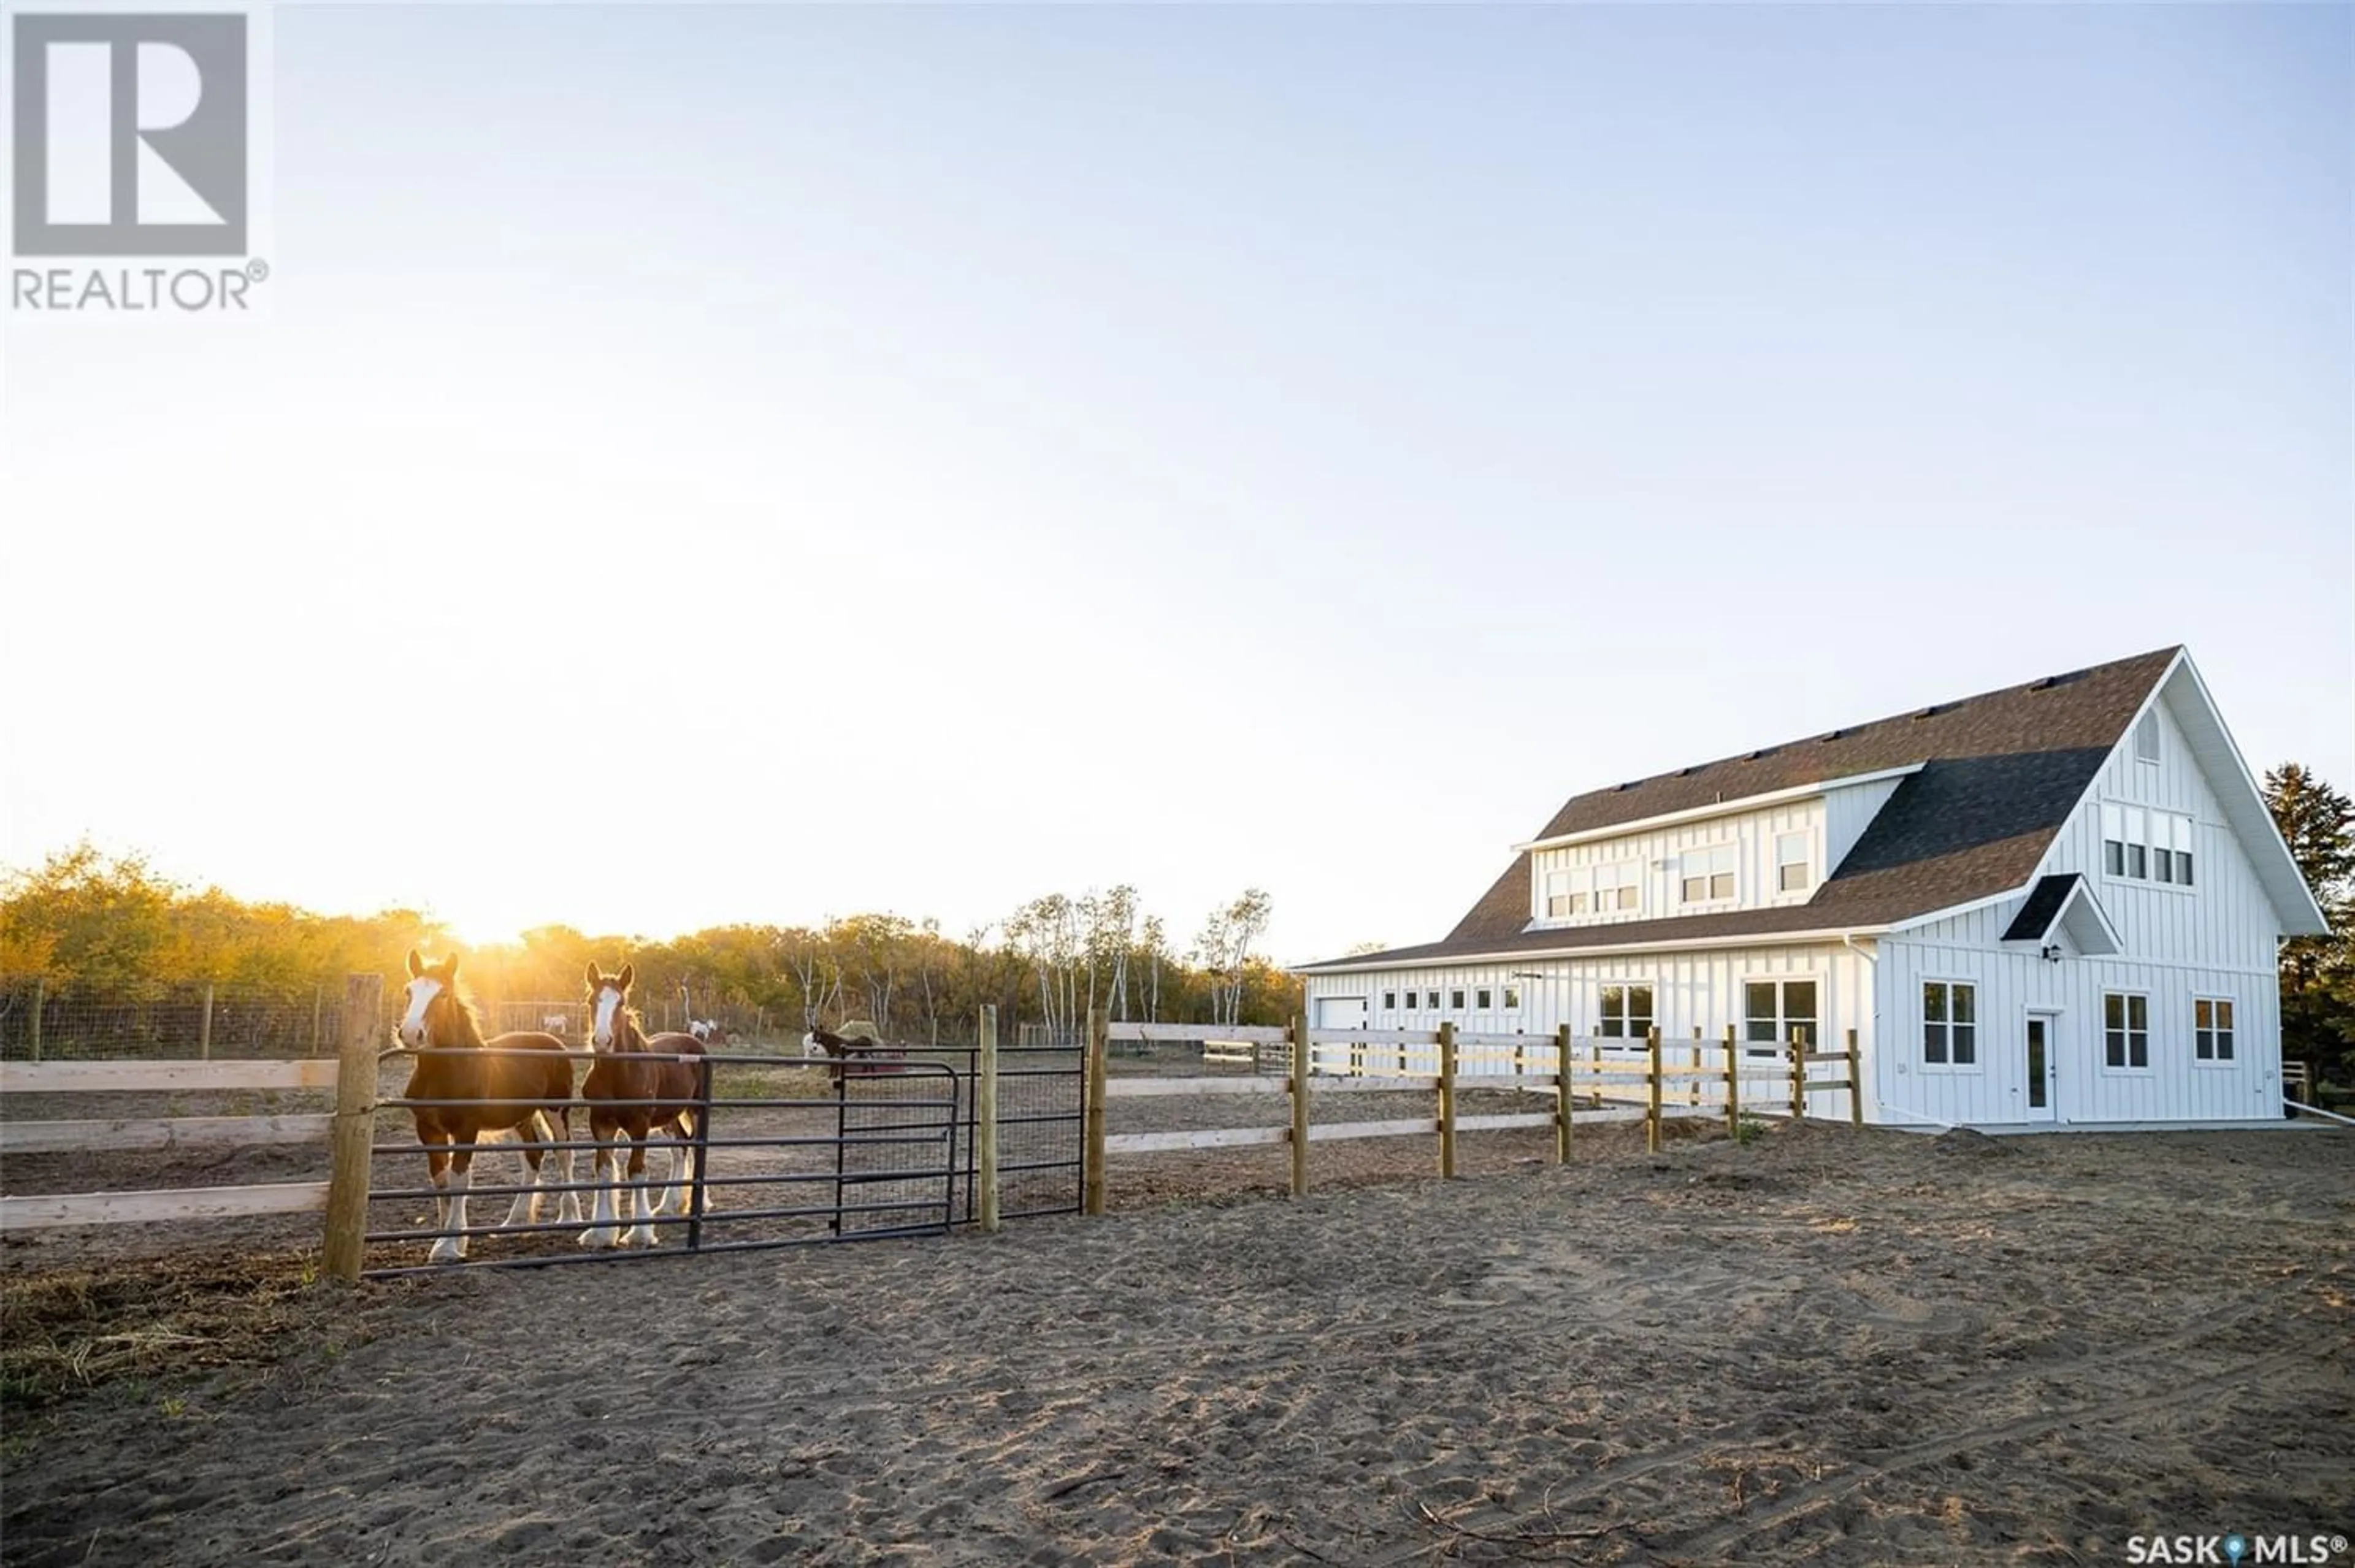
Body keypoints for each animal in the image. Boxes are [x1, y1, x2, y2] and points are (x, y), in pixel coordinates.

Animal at [396, 946, 579, 1261]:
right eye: (409, 991)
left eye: (443, 994)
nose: (410, 1034)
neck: (448, 1071)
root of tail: (554, 1041)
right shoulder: (429, 1130)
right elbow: (441, 1181)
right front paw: (445, 1240)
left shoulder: (466, 1129)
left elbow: (460, 1179)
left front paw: (451, 1245)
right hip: (521, 1118)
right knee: (534, 1156)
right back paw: (514, 1222)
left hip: (556, 1111)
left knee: (563, 1154)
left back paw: (568, 1218)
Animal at [581, 960, 706, 1243]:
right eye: (591, 1000)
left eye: (621, 1003)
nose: (602, 1041)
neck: (619, 1075)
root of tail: (693, 1039)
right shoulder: (600, 1123)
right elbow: (603, 1170)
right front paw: (601, 1232)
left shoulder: (639, 1125)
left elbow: (637, 1170)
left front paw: (640, 1233)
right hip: (668, 1118)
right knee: (681, 1148)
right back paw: (670, 1204)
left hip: (695, 1111)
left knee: (696, 1148)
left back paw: (699, 1204)